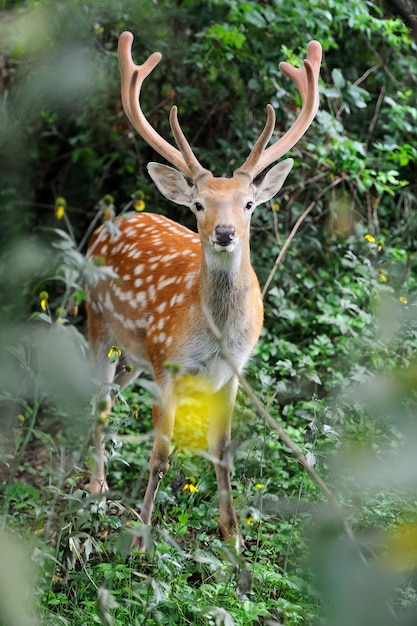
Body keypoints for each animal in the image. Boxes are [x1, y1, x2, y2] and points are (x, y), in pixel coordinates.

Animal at [85, 31, 322, 544]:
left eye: (249, 203)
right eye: (197, 204)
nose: (225, 233)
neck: (217, 335)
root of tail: (111, 224)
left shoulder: (231, 373)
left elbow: (224, 451)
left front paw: (233, 537)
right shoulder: (168, 367)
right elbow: (160, 456)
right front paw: (142, 537)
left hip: (135, 356)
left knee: (112, 395)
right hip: (98, 323)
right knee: (98, 399)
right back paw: (96, 487)